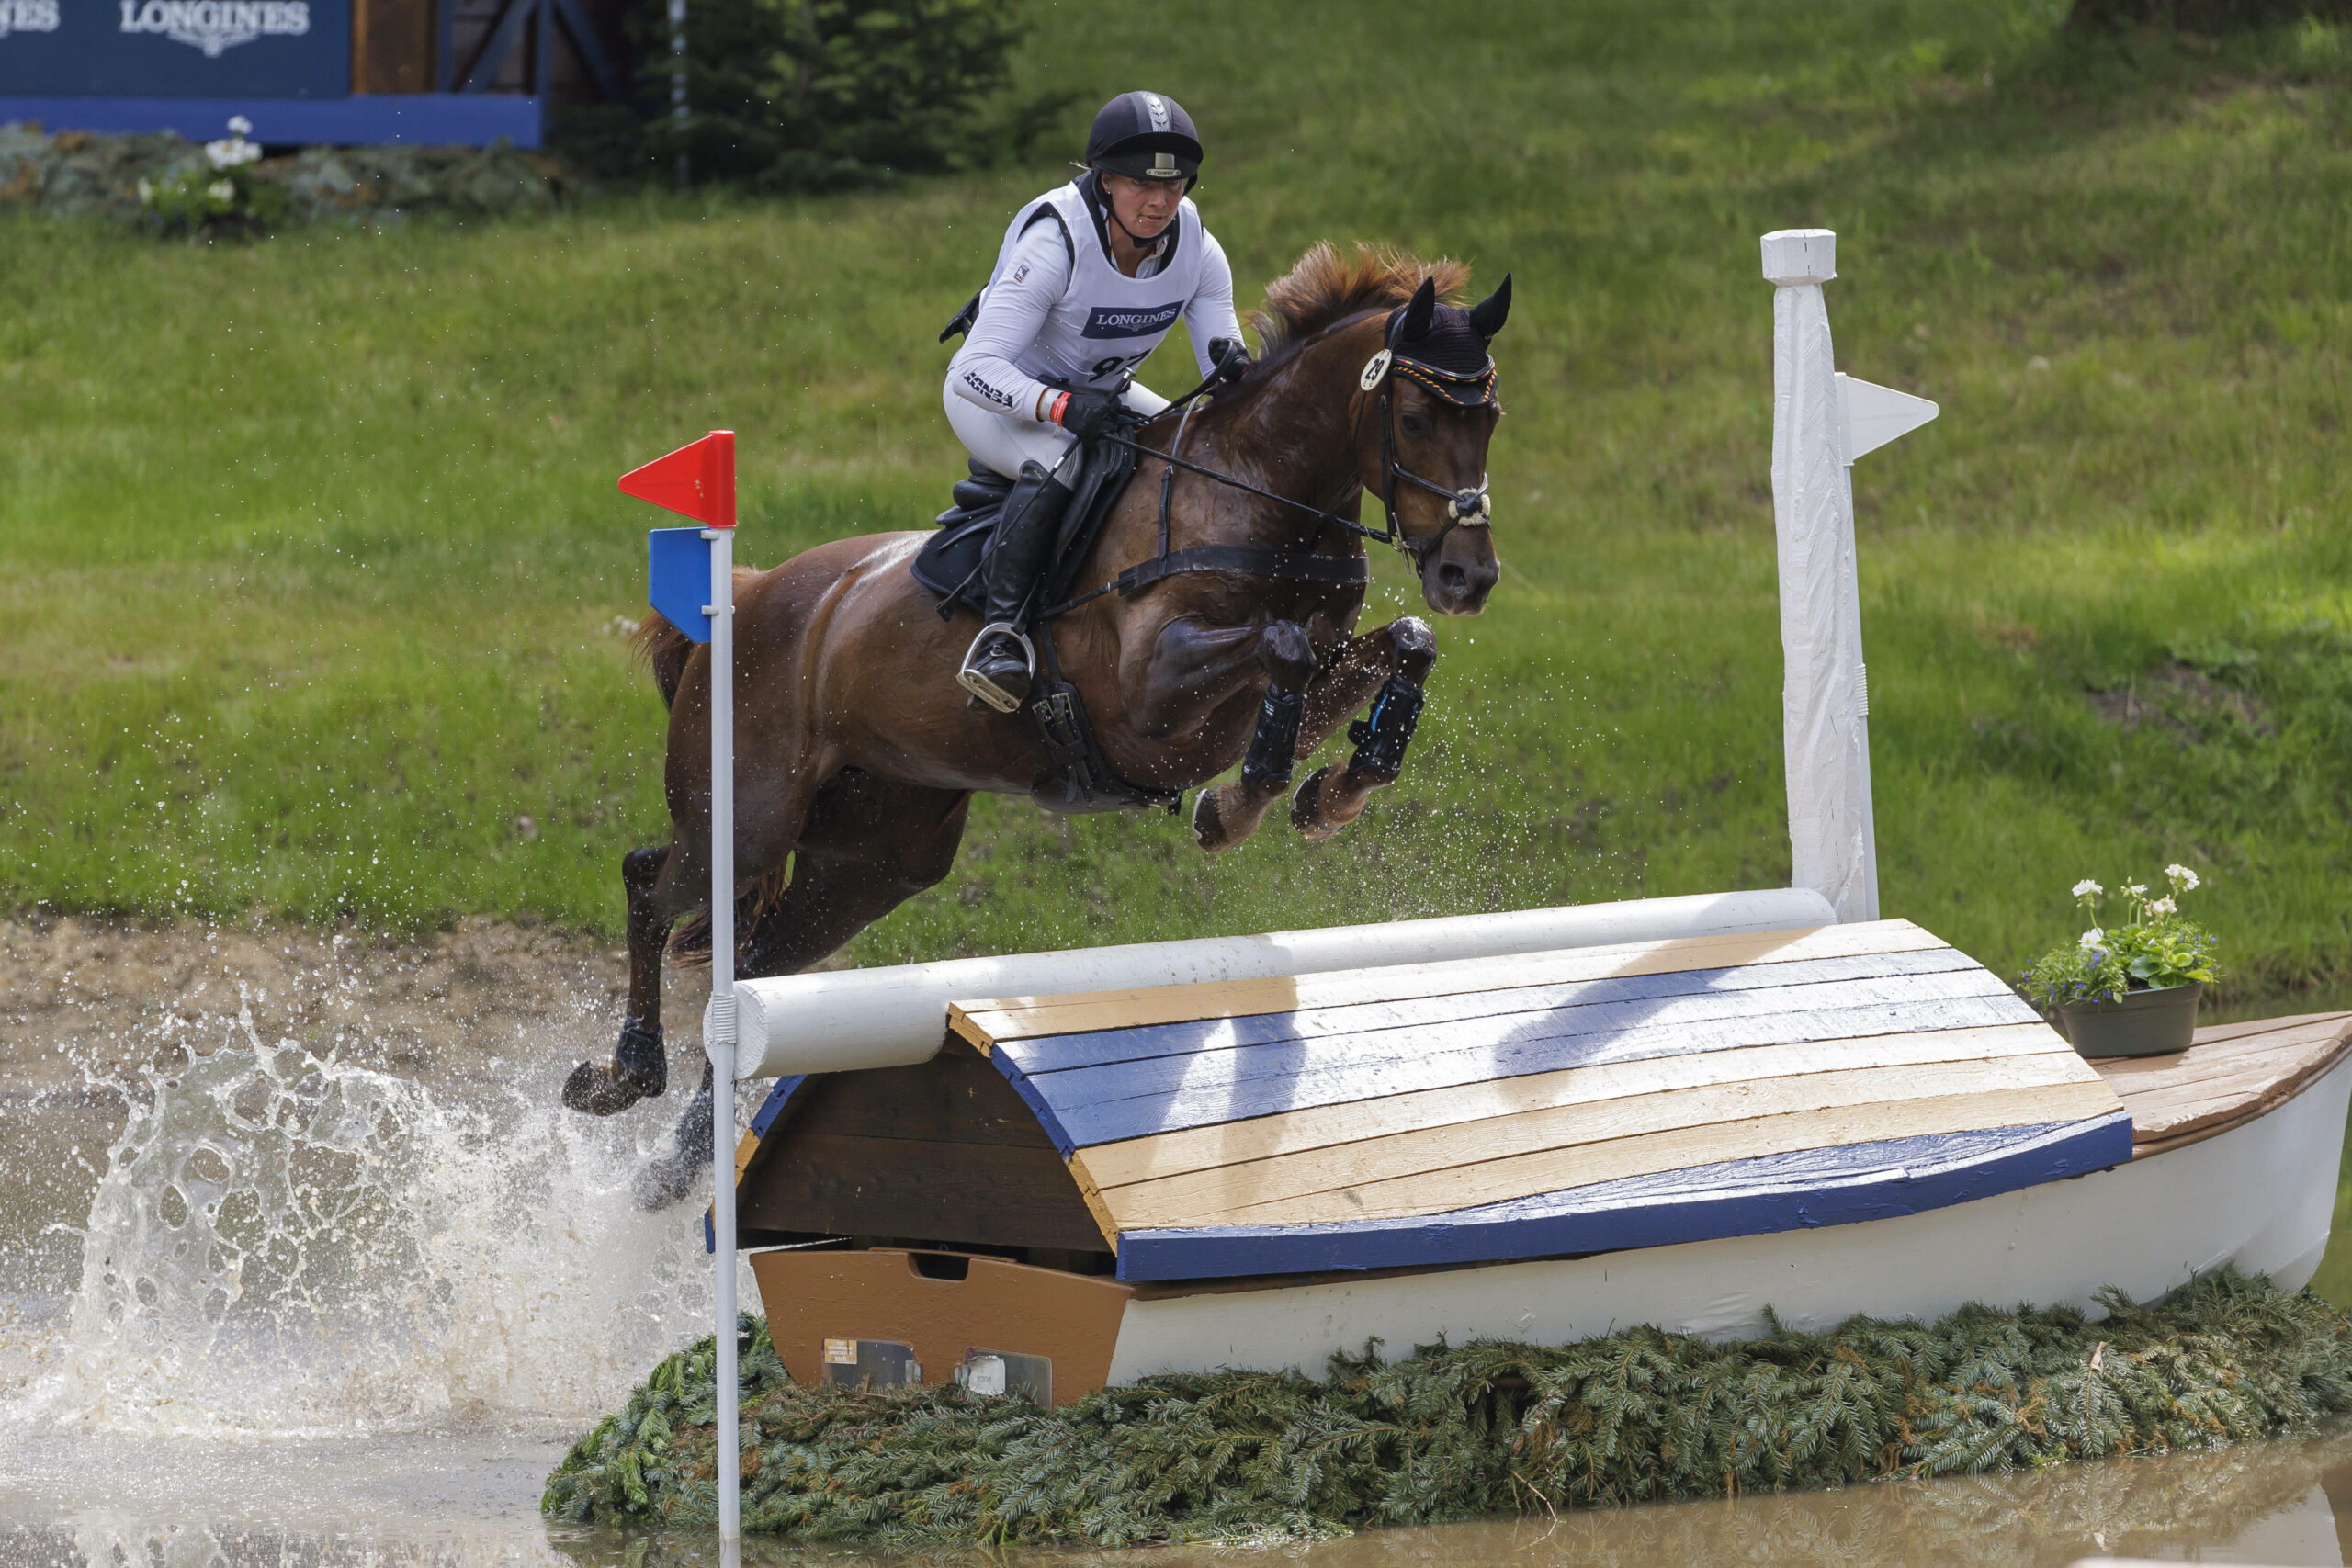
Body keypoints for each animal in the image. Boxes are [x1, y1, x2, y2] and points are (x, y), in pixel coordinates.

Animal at [564, 245, 1505, 1213]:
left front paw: (1332, 793)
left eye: (1491, 417)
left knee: (756, 971)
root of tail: (743, 595)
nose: (1469, 575)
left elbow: (1403, 642)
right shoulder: (1150, 698)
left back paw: (675, 1167)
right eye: (1415, 416)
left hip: (871, 865)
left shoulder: (1286, 677)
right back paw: (621, 1076)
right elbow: (1280, 650)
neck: (1261, 500)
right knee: (649, 881)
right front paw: (1238, 808)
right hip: (744, 818)